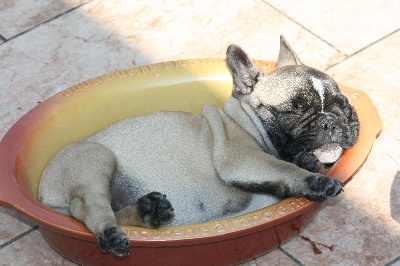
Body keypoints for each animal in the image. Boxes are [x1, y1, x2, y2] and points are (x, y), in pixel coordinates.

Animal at [39, 36, 360, 256]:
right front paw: (315, 180)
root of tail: (45, 192)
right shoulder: (242, 159)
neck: (246, 122)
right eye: (293, 110)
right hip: (96, 158)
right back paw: (111, 233)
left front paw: (310, 162)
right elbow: (283, 169)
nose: (329, 121)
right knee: (89, 207)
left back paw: (149, 211)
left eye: (344, 105)